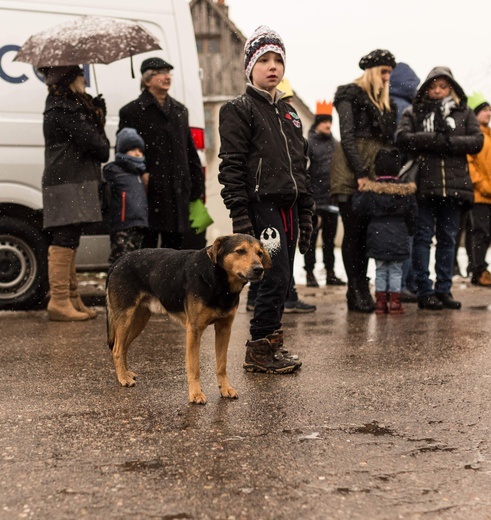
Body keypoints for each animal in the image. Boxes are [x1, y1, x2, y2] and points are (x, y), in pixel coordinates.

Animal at [106, 234, 272, 404]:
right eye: (240, 251)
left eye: (259, 253)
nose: (259, 269)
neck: (217, 281)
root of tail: (118, 261)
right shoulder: (194, 330)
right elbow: (194, 367)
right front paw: (196, 394)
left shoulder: (224, 329)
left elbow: (222, 364)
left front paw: (225, 388)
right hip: (126, 318)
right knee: (117, 349)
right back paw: (123, 378)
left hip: (139, 319)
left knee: (123, 347)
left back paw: (126, 373)